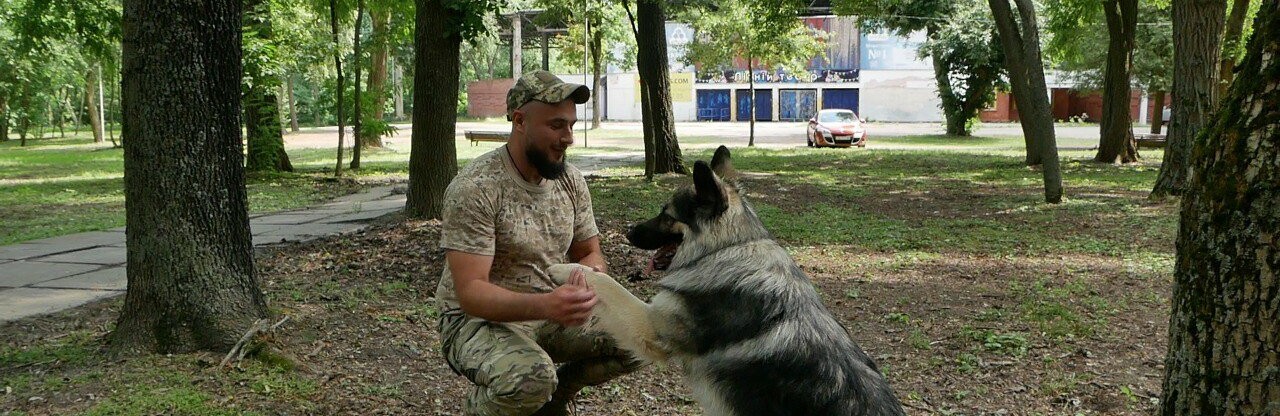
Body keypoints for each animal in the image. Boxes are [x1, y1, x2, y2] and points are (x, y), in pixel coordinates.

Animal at [545, 145, 906, 414]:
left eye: (667, 215)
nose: (629, 233)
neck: (727, 249)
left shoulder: (651, 327)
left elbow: (608, 285)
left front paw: (565, 269)